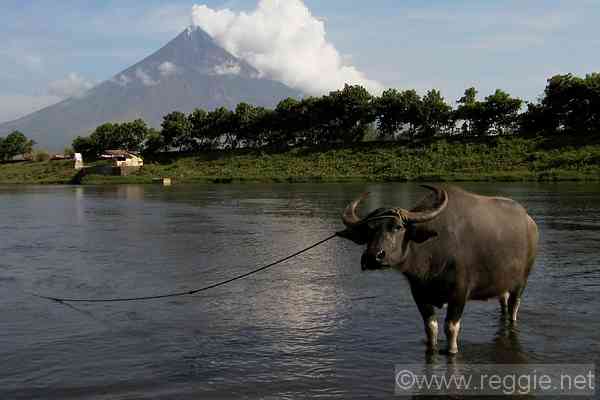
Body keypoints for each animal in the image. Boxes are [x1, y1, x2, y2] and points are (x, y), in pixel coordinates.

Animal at [338, 184, 540, 354]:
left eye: (398, 227)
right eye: (368, 230)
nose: (373, 257)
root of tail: (529, 221)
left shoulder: (459, 293)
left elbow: (450, 327)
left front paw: (452, 351)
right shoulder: (419, 294)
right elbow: (430, 327)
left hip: (522, 282)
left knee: (514, 306)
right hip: (502, 284)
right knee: (504, 301)